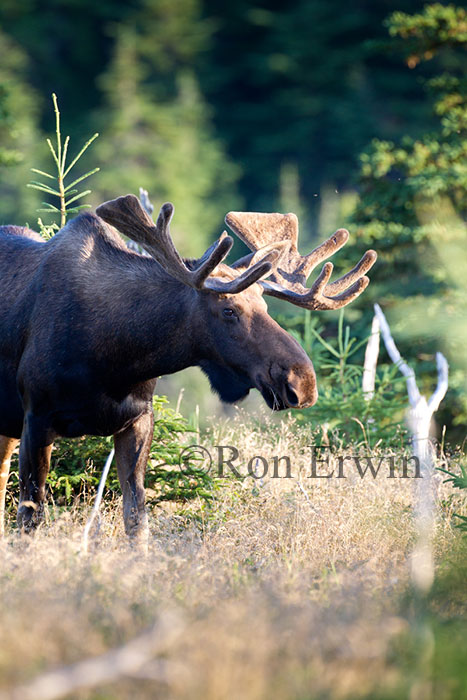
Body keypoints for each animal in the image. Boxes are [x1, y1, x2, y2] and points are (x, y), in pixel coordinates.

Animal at [0, 193, 376, 543]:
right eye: (228, 310)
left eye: (265, 305)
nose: (303, 381)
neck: (115, 357)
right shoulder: (37, 418)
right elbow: (29, 518)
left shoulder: (137, 419)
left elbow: (137, 519)